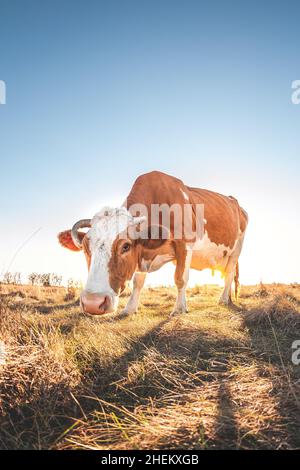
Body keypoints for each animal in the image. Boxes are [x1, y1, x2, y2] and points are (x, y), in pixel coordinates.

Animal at [57, 172, 247, 316]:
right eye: (86, 248)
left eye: (125, 246)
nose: (92, 303)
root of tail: (234, 201)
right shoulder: (142, 253)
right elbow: (138, 281)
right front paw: (129, 308)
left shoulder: (185, 243)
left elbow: (180, 278)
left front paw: (179, 309)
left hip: (236, 249)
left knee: (229, 273)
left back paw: (223, 300)